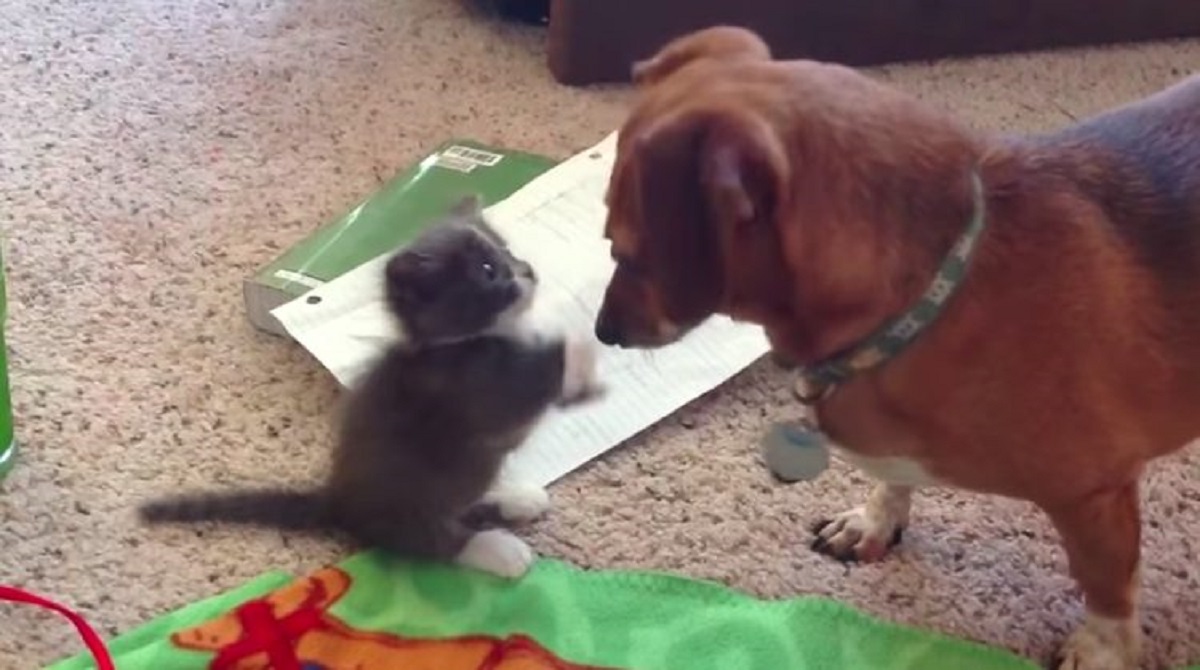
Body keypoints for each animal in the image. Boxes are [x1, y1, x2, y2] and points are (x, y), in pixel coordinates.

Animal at [138, 194, 600, 578]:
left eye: (508, 251)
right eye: (488, 270)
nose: (529, 271)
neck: (454, 341)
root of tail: (340, 500)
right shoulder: (466, 395)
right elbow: (523, 398)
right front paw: (580, 343)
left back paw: (515, 496)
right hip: (410, 497)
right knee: (429, 539)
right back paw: (497, 550)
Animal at [595, 24, 1200, 670]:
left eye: (625, 251)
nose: (603, 331)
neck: (935, 293)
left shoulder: (1094, 495)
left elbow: (1105, 583)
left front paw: (1102, 647)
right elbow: (894, 479)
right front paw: (874, 521)